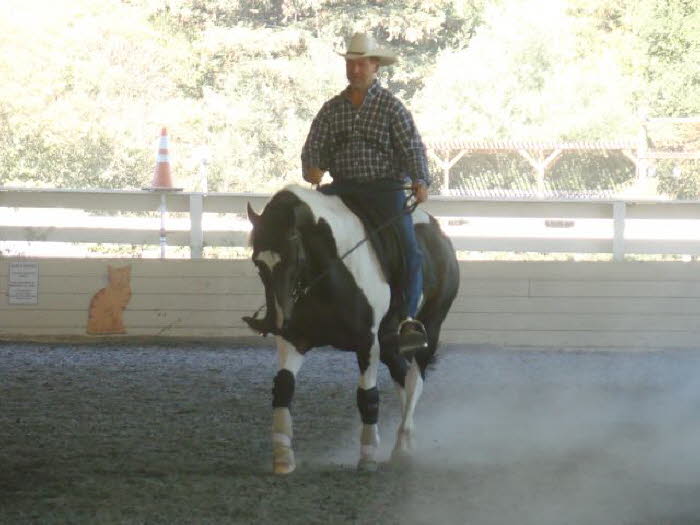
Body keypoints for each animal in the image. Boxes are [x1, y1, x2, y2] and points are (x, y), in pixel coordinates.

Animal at [242, 183, 460, 470]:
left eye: (292, 258)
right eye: (257, 262)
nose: (278, 321)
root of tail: (440, 233)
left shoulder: (367, 342)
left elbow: (367, 394)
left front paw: (367, 456)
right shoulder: (295, 339)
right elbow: (284, 387)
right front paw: (283, 455)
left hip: (430, 328)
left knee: (415, 382)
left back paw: (402, 446)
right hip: (389, 344)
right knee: (402, 377)